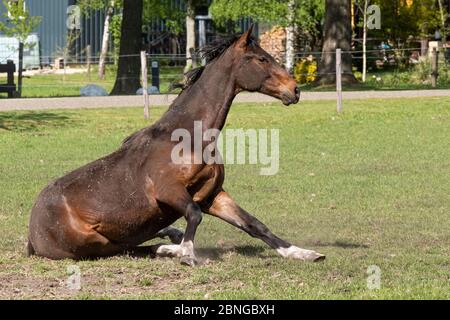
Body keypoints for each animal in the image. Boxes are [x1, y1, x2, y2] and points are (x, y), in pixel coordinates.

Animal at [28, 25, 324, 264]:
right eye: (262, 59)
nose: (295, 90)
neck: (189, 137)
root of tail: (32, 235)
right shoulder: (168, 191)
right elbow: (194, 214)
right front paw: (187, 254)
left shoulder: (212, 195)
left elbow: (254, 224)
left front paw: (303, 253)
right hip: (93, 241)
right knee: (126, 247)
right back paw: (168, 248)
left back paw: (170, 238)